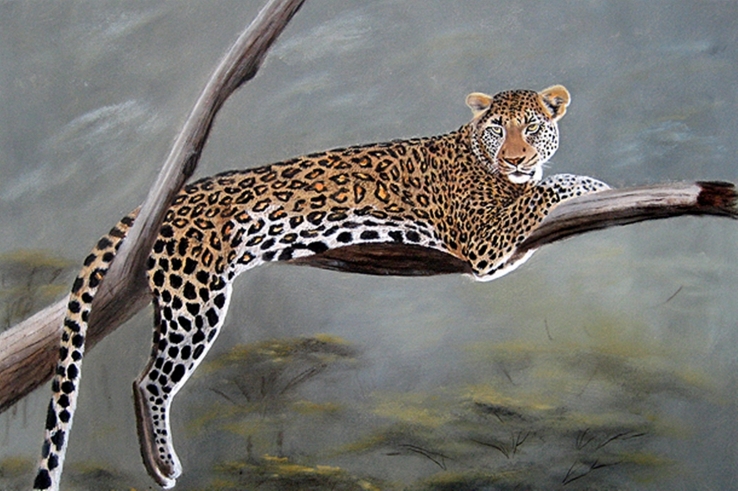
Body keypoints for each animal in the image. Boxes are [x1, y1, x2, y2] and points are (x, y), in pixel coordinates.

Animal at [34, 84, 609, 490]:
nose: (515, 157)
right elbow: (543, 192)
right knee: (149, 380)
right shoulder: (482, 241)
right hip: (193, 295)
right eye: (496, 131)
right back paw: (162, 463)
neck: (477, 154)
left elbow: (536, 194)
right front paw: (589, 183)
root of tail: (175, 195)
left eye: (532, 127)